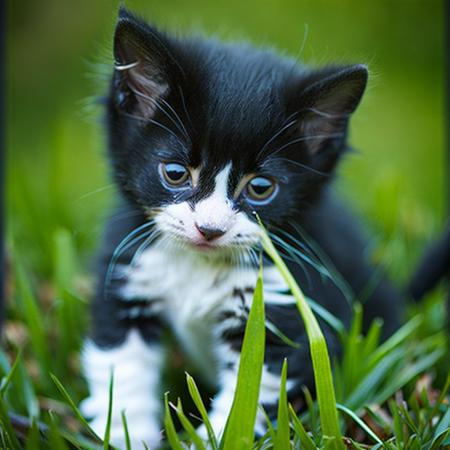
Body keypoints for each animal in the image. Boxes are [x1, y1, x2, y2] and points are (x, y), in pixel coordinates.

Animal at [80, 7, 400, 450]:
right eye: (175, 173)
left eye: (260, 188)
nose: (209, 228)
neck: (197, 265)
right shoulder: (127, 267)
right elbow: (120, 361)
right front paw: (129, 433)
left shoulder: (285, 299)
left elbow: (254, 391)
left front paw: (217, 436)